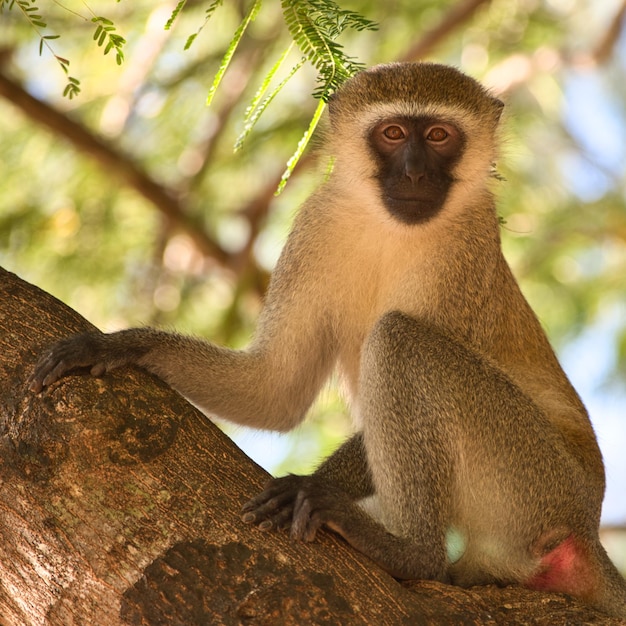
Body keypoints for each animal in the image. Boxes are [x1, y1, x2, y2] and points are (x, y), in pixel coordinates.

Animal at [29, 61, 624, 616]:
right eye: (392, 134)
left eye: (438, 135)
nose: (414, 173)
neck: (390, 229)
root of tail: (587, 523)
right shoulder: (312, 228)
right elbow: (275, 390)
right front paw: (123, 345)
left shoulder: (468, 250)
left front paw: (309, 486)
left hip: (536, 479)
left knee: (399, 338)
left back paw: (411, 552)